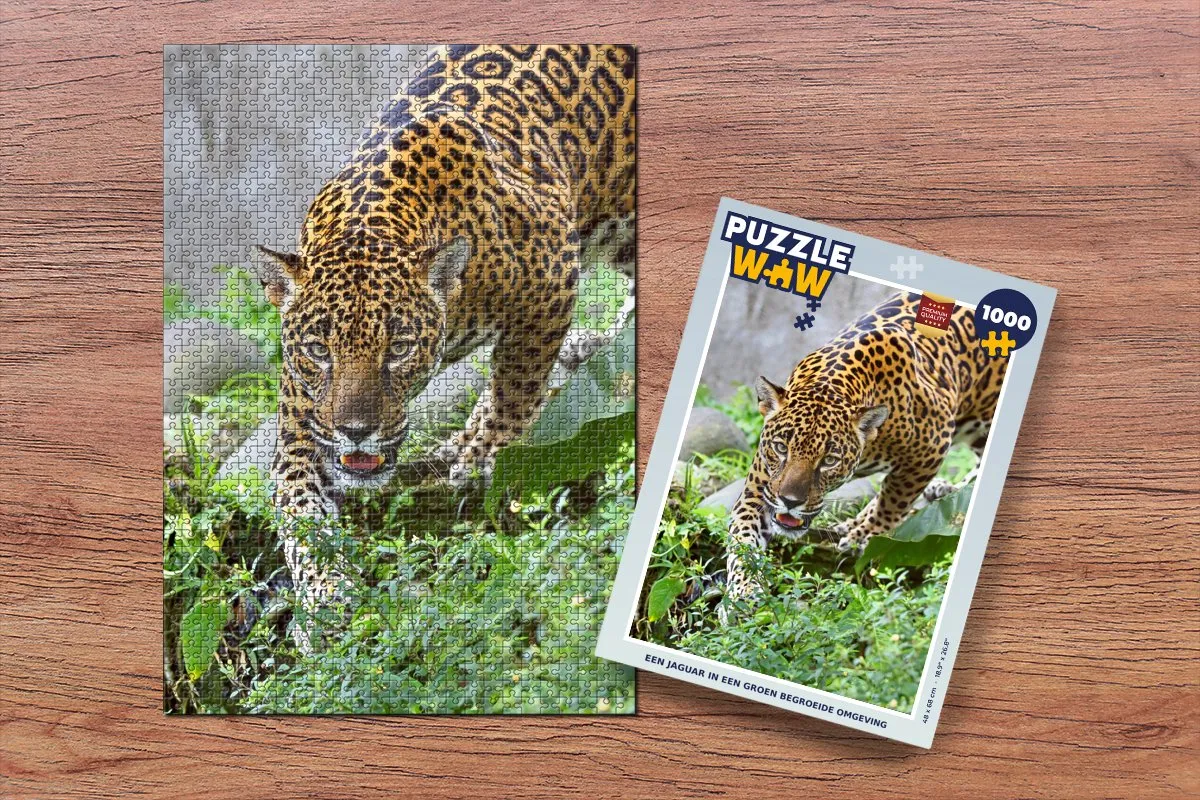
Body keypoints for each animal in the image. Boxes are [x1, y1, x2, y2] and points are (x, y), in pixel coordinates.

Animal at [255, 45, 636, 651]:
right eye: (318, 350)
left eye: (398, 348)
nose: (356, 431)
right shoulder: (302, 419)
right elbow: (301, 511)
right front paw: (327, 601)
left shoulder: (553, 276)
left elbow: (514, 391)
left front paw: (476, 458)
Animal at [720, 292, 1006, 620]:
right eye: (781, 448)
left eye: (829, 460)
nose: (790, 502)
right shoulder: (760, 488)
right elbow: (742, 538)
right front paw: (742, 594)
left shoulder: (932, 444)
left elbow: (893, 501)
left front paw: (862, 534)